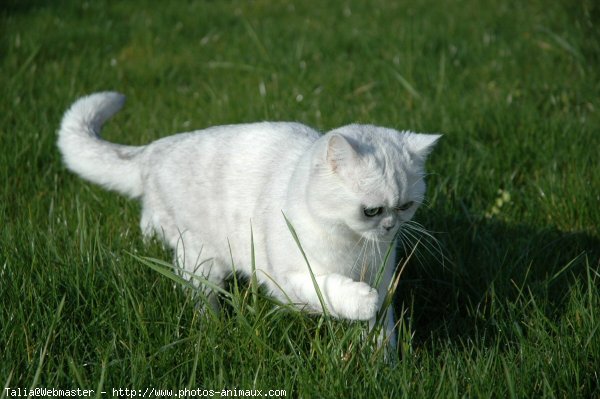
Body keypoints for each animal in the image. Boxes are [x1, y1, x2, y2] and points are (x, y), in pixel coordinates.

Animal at [57, 92, 440, 348]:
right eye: (371, 211)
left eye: (405, 206)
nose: (390, 227)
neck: (355, 246)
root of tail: (154, 149)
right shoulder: (291, 282)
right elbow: (332, 290)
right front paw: (361, 303)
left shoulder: (383, 276)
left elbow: (382, 328)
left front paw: (381, 363)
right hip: (202, 263)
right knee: (199, 297)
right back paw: (212, 329)